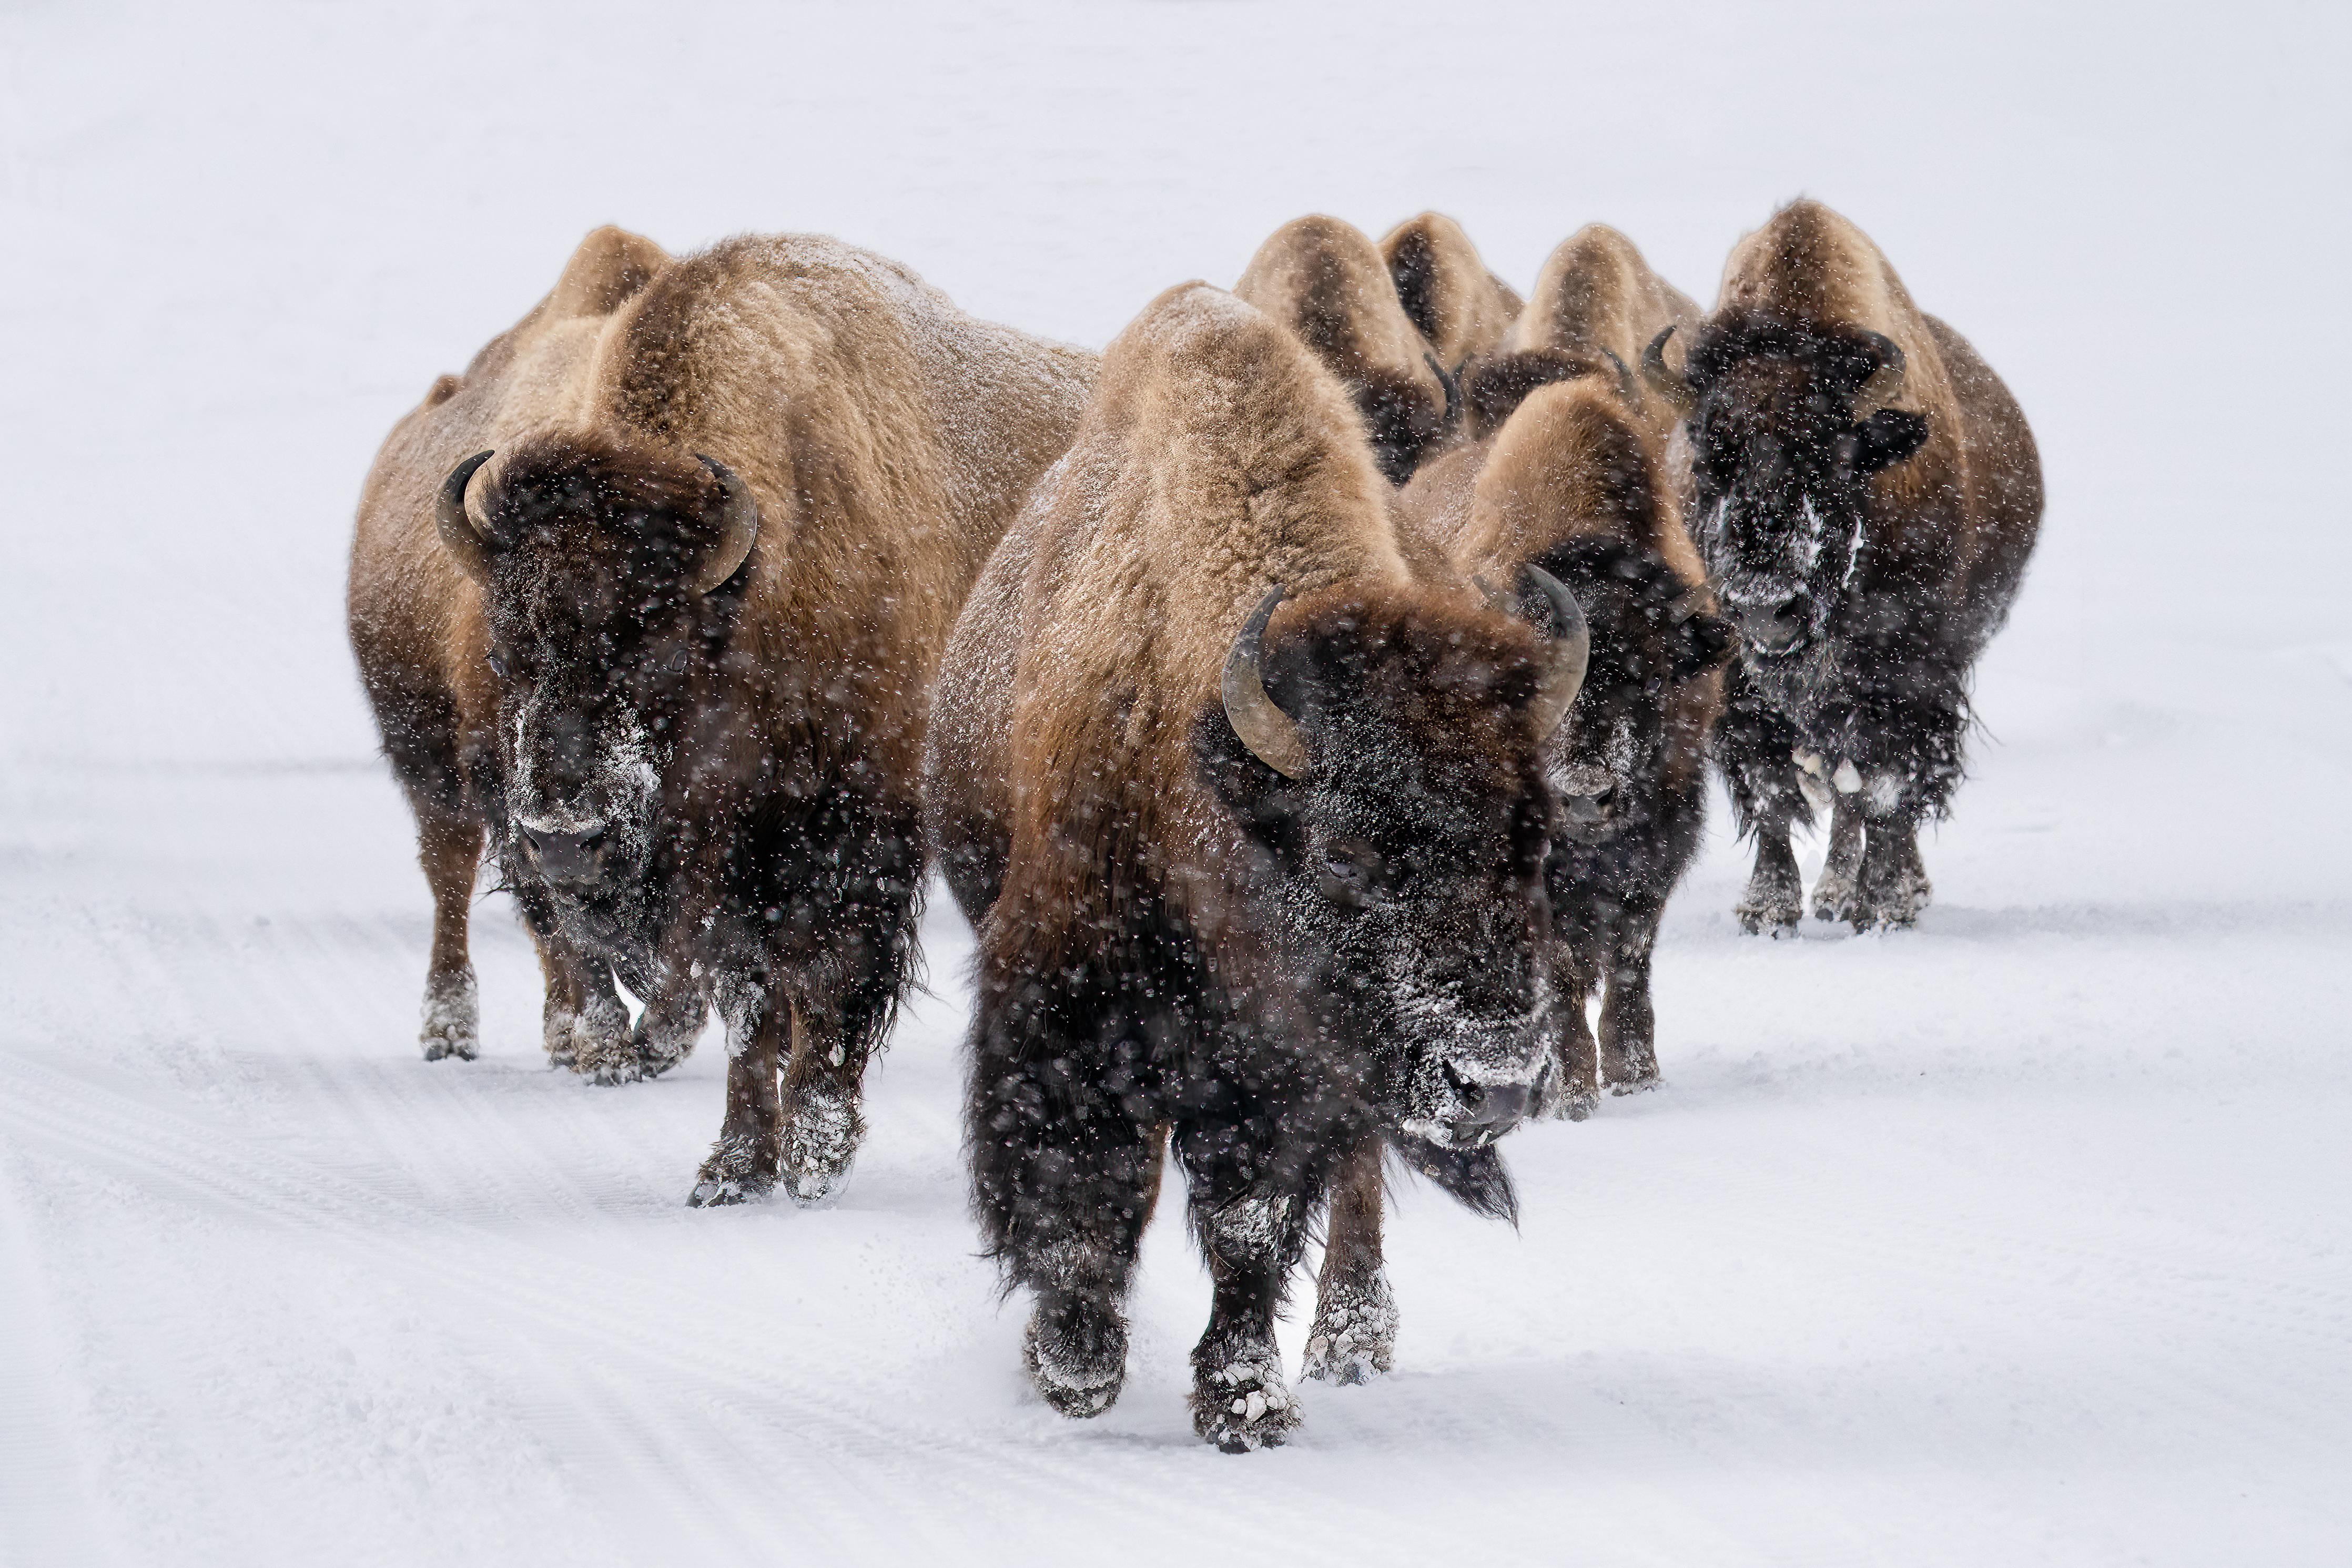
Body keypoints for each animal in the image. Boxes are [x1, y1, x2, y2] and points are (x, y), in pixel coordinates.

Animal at [346, 221, 1091, 1213]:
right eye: (505, 652)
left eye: (660, 650)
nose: (565, 839)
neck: (757, 585)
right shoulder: (726, 864)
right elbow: (748, 1000)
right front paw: (735, 1166)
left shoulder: (854, 836)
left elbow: (829, 981)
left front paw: (816, 1152)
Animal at [917, 282, 1580, 1457]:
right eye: (1346, 851)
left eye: (1536, 841)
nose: (1495, 1078)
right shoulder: (1062, 1009)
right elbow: (1081, 1187)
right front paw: (1076, 1365)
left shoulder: (1287, 1076)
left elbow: (1250, 1225)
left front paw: (1244, 1403)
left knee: (1355, 1185)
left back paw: (1353, 1336)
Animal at [1637, 197, 2041, 931]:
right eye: (1709, 464)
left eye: (1831, 462)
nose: (1765, 608)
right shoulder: (1737, 687)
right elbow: (1770, 791)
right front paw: (1767, 910)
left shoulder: (1910, 676)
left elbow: (1884, 790)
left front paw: (1883, 906)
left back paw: (1869, 893)